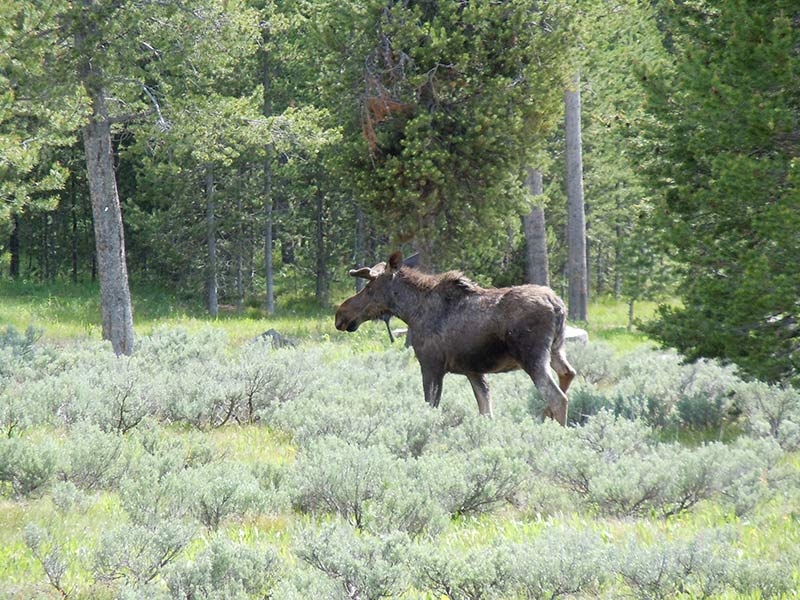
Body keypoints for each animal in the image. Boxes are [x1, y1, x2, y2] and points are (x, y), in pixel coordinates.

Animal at [334, 251, 580, 424]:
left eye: (369, 288)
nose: (340, 314)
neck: (411, 312)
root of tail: (558, 306)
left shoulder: (431, 365)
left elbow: (431, 407)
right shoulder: (473, 370)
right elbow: (486, 411)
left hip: (532, 357)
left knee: (558, 397)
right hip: (556, 349)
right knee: (568, 373)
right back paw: (545, 415)